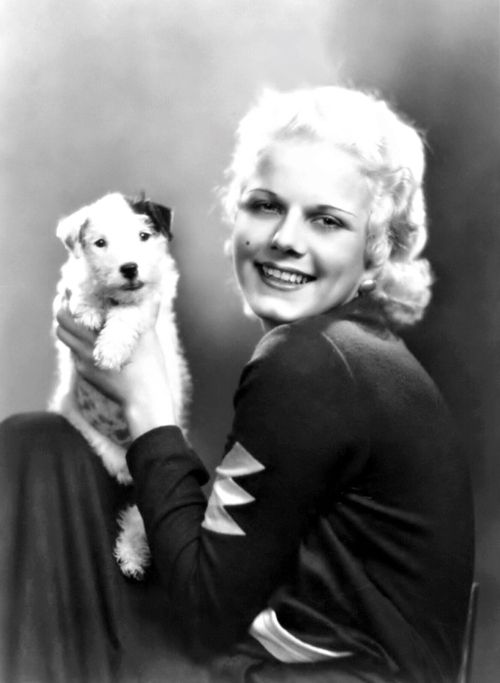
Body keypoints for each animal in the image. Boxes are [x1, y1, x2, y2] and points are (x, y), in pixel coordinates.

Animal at [49, 191, 189, 576]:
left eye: (143, 236)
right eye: (100, 243)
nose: (129, 268)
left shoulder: (153, 299)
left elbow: (131, 310)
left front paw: (111, 348)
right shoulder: (65, 292)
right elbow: (80, 284)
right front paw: (89, 307)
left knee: (140, 513)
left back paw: (132, 553)